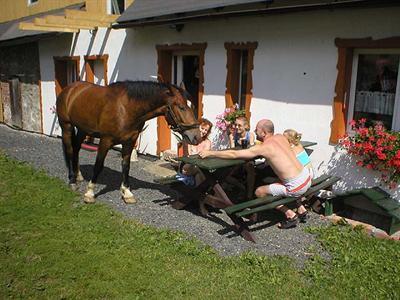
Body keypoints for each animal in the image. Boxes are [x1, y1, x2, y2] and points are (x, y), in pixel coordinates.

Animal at [56, 79, 200, 203]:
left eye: (192, 106)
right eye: (181, 107)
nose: (196, 137)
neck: (126, 108)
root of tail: (69, 89)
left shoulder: (130, 141)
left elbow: (126, 166)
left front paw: (127, 193)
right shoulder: (105, 141)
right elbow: (98, 165)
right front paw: (90, 193)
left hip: (83, 129)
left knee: (76, 148)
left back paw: (78, 175)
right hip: (66, 127)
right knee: (70, 150)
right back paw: (72, 181)